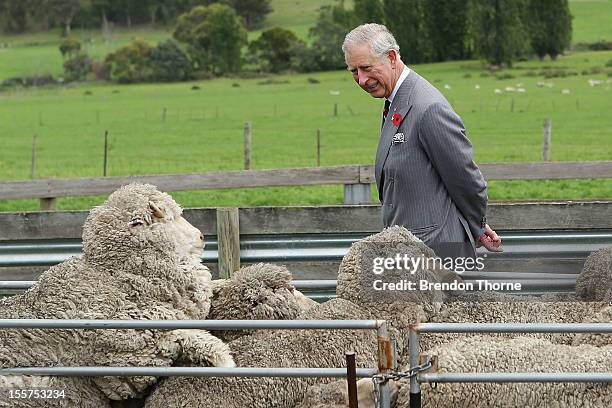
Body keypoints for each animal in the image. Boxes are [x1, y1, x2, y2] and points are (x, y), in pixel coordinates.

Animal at [0, 183, 234, 406]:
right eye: (170, 218)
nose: (202, 237)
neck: (117, 276)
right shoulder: (126, 357)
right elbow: (182, 333)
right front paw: (223, 358)